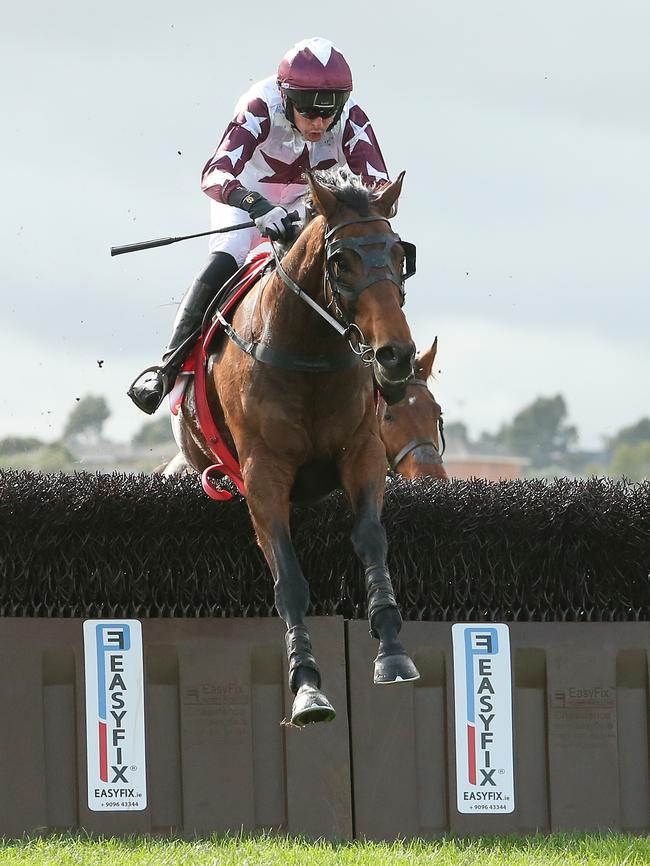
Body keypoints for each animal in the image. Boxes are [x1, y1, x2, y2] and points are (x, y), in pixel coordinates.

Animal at [176, 167, 420, 724]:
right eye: (341, 261)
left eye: (401, 255)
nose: (395, 356)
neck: (308, 350)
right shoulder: (262, 474)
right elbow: (287, 575)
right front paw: (307, 685)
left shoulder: (362, 453)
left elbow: (371, 539)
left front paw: (392, 650)